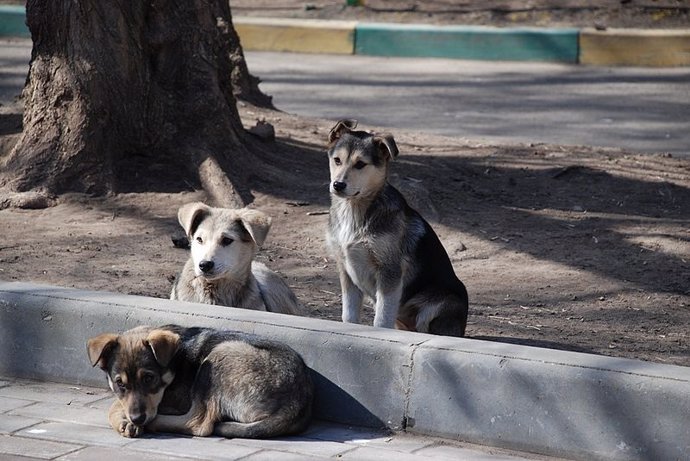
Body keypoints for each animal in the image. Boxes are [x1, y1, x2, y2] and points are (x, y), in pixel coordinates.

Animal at [86, 324, 314, 438]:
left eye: (149, 378)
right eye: (120, 383)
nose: (137, 419)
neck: (175, 362)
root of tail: (296, 403)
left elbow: (114, 406)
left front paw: (125, 421)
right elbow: (119, 402)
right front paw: (125, 421)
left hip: (220, 355)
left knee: (199, 423)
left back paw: (154, 424)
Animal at [324, 117, 468, 336]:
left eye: (360, 164)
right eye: (337, 160)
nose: (338, 185)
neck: (355, 210)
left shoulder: (389, 272)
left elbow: (382, 319)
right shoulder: (346, 270)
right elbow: (348, 315)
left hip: (438, 303)